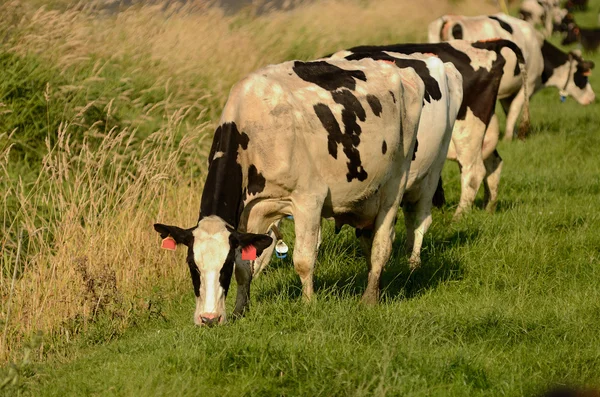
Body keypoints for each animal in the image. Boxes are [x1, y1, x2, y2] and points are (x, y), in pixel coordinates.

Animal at [155, 57, 426, 324]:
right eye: (192, 265)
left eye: (225, 266)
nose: (209, 318)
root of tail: (399, 68)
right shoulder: (247, 214)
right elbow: (245, 268)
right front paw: (240, 311)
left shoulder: (309, 199)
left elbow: (304, 260)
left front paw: (308, 305)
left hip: (395, 184)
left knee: (382, 246)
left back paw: (369, 298)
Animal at [332, 39, 528, 217]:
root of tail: (484, 45)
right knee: (494, 163)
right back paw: (489, 208)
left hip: (468, 130)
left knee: (474, 172)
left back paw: (459, 216)